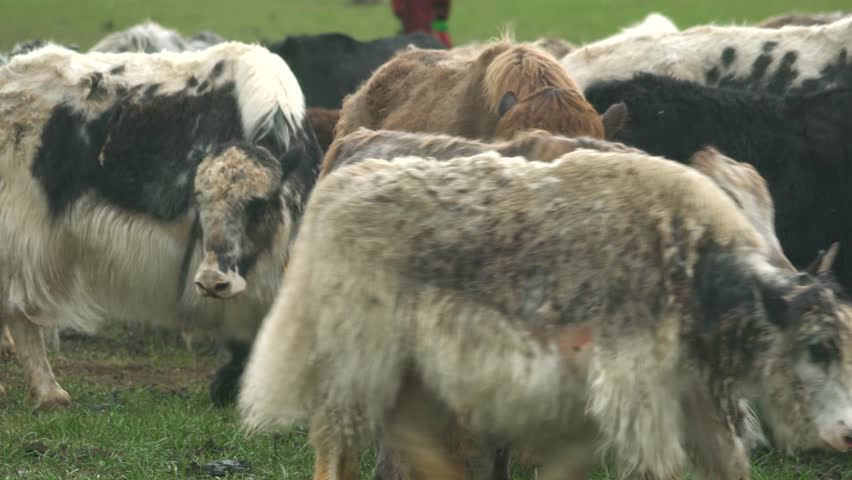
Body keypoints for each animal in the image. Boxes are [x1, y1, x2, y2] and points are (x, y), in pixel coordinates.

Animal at [0, 41, 322, 410]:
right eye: (199, 200)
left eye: (257, 204)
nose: (213, 282)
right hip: (22, 236)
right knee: (20, 313)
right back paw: (50, 394)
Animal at [239, 147, 852, 480]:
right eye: (818, 347)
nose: (847, 434)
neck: (696, 267)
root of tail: (336, 188)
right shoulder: (638, 392)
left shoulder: (685, 397)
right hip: (355, 363)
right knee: (337, 445)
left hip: (409, 373)